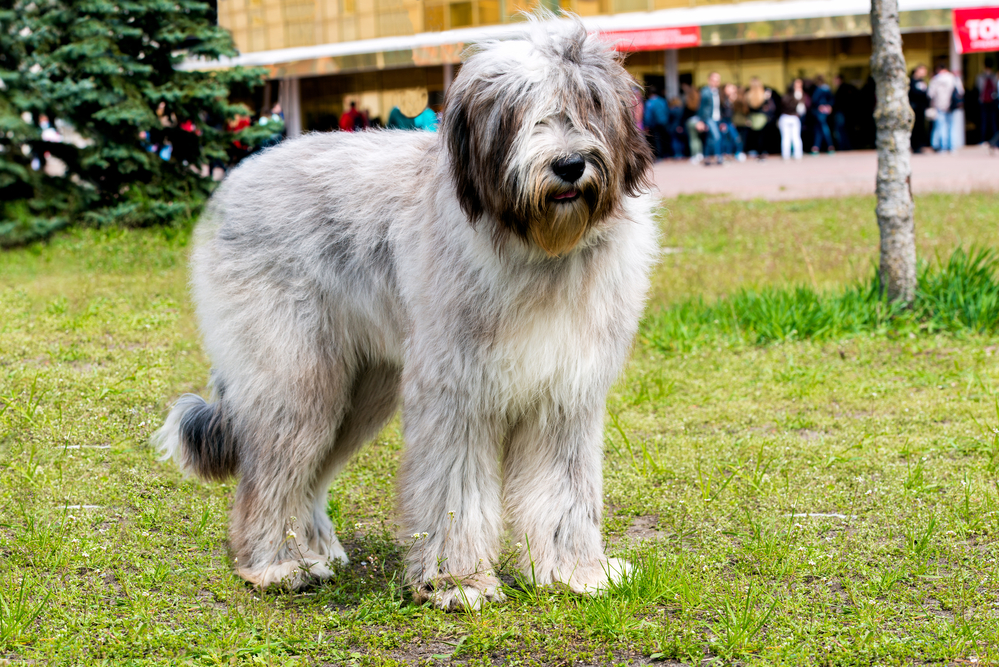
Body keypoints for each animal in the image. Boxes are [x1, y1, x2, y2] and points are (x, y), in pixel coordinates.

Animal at [154, 14, 656, 612]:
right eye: (520, 111)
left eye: (589, 104)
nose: (569, 165)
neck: (539, 251)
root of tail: (237, 176)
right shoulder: (457, 393)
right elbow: (454, 489)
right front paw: (458, 581)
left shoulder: (565, 395)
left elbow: (566, 491)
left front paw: (577, 571)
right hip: (297, 376)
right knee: (270, 474)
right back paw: (275, 563)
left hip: (362, 388)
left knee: (310, 474)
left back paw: (315, 550)